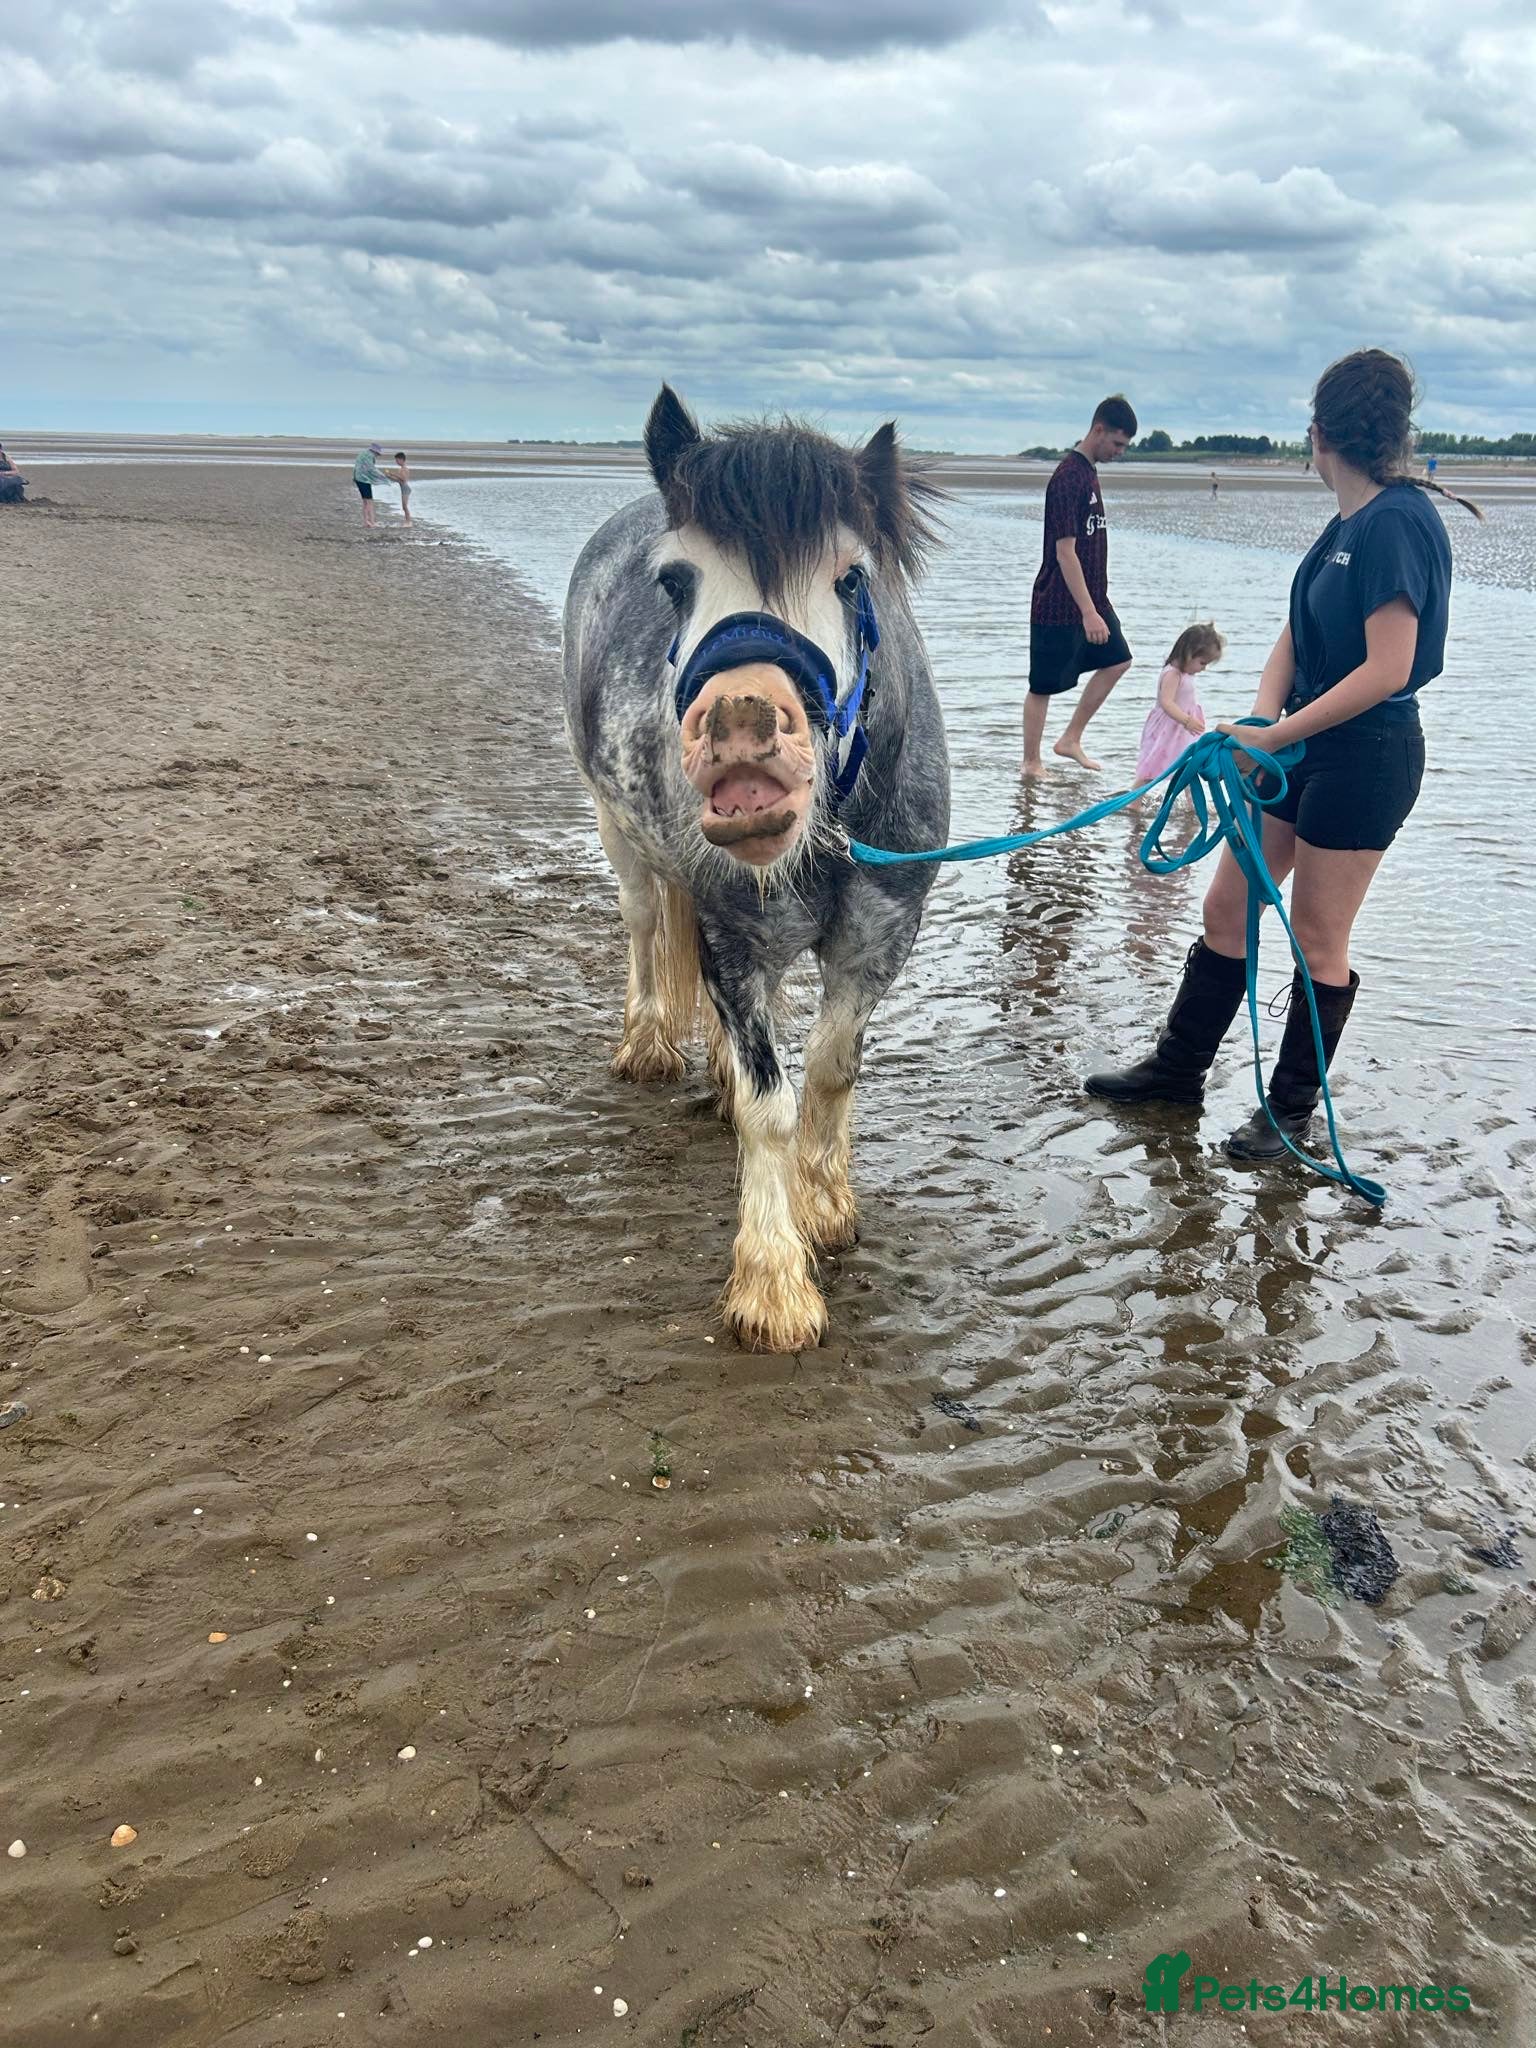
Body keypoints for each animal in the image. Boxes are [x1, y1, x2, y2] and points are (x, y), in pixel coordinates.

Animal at [562, 387, 950, 1351]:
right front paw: (773, 1283)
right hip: (621, 838)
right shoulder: (731, 937)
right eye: (676, 582)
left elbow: (831, 1068)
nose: (742, 732)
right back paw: (651, 1044)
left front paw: (825, 1204)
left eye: (852, 579)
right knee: (643, 929)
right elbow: (771, 1105)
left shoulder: (877, 942)